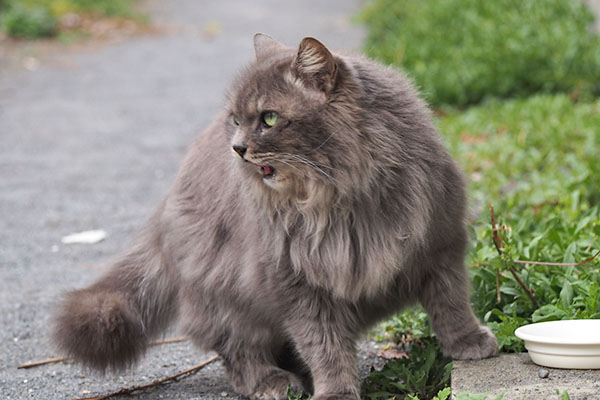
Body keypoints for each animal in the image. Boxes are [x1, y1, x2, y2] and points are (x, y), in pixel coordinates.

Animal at [52, 35, 496, 400]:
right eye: (237, 120)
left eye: (268, 118)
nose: (237, 147)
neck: (340, 200)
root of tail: (163, 215)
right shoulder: (296, 281)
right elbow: (324, 344)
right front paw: (336, 390)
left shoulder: (440, 246)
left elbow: (451, 304)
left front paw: (468, 344)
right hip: (225, 298)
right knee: (238, 352)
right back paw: (274, 381)